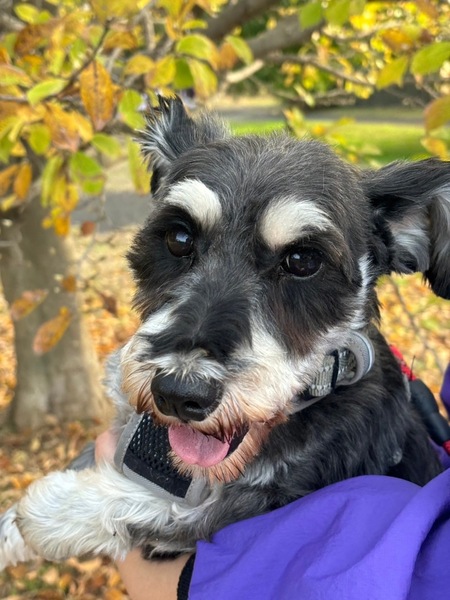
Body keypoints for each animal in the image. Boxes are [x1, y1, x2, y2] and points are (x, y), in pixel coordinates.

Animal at [1, 96, 449, 567]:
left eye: (303, 260)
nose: (179, 393)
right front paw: (11, 528)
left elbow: (174, 508)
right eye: (179, 238)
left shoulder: (267, 502)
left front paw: (59, 509)